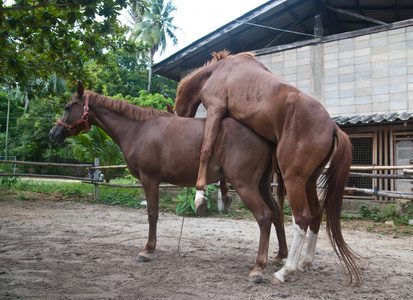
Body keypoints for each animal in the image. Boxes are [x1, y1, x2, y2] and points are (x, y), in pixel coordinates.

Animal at [49, 82, 286, 284]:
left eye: (68, 107)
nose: (54, 133)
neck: (138, 129)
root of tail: (266, 136)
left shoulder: (150, 179)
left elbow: (152, 214)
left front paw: (147, 249)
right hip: (262, 186)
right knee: (276, 214)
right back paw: (279, 256)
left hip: (245, 185)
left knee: (264, 217)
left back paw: (258, 267)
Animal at [174, 50, 360, 284]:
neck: (217, 70)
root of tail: (333, 127)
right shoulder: (226, 116)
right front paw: (224, 195)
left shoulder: (216, 108)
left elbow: (206, 149)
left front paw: (200, 195)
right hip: (309, 181)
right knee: (317, 215)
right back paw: (305, 262)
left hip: (294, 180)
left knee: (302, 219)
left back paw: (285, 271)